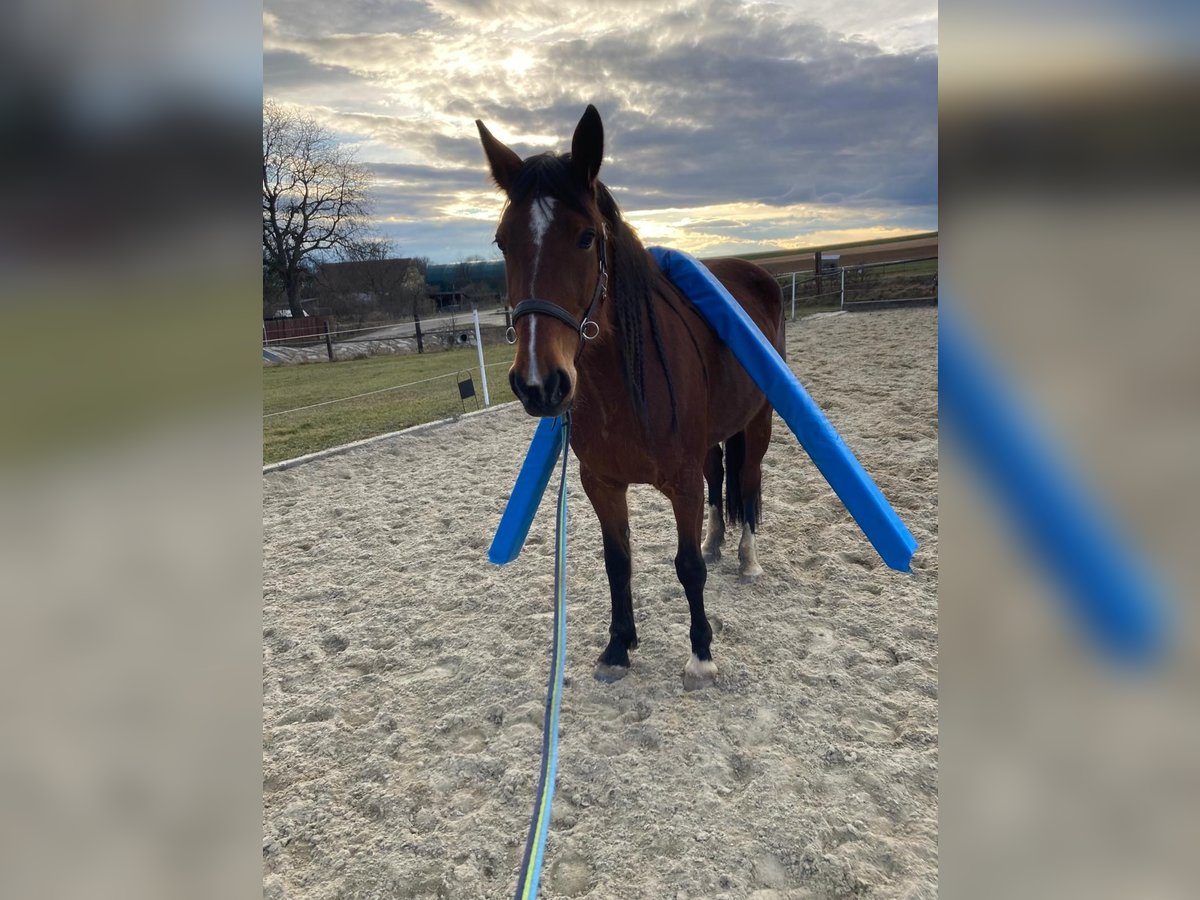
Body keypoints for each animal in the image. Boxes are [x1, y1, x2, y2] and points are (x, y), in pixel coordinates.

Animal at [477, 105, 787, 696]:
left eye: (585, 238)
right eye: (503, 242)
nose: (538, 383)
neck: (624, 389)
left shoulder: (681, 483)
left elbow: (687, 567)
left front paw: (701, 655)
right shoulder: (602, 483)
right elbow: (617, 562)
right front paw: (618, 647)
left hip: (757, 423)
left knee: (748, 482)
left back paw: (745, 557)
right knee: (720, 475)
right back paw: (717, 541)